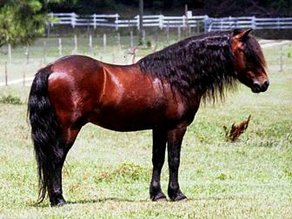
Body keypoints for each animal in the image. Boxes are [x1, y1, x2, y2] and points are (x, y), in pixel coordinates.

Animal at [27, 28, 270, 206]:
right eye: (248, 54)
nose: (264, 84)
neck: (175, 77)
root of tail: (51, 68)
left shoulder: (159, 128)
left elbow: (158, 159)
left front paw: (157, 194)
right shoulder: (176, 127)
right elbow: (174, 160)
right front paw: (177, 194)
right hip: (70, 128)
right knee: (56, 158)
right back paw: (58, 199)